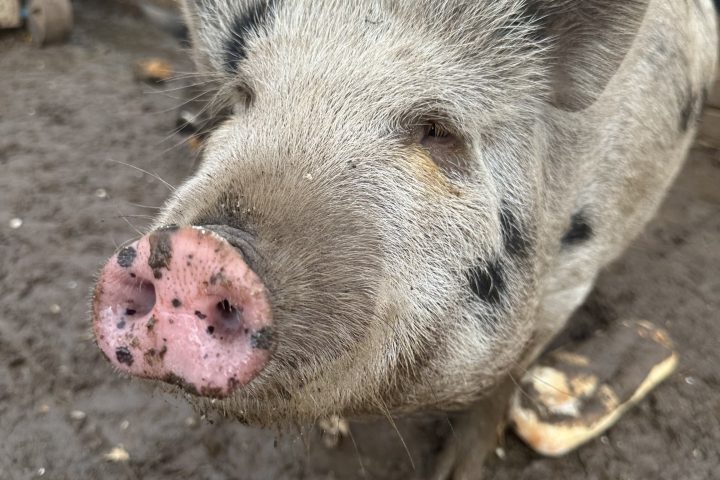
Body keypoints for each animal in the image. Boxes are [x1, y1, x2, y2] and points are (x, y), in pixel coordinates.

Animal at [92, 0, 718, 477]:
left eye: (436, 130)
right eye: (245, 98)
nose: (196, 249)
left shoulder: (577, 268)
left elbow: (507, 380)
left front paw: (455, 471)